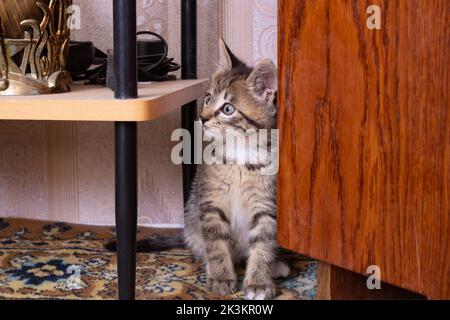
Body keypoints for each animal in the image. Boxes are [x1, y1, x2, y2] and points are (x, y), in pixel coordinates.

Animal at [185, 40, 290, 300]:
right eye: (208, 97)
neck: (241, 155)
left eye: (228, 109)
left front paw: (259, 283)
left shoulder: (266, 207)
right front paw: (221, 277)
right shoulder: (211, 202)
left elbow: (263, 246)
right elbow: (216, 244)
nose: (202, 117)